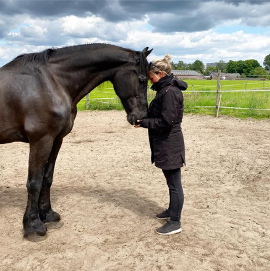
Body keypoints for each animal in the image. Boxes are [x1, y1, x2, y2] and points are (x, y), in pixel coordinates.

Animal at [0, 44, 152, 242]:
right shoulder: (40, 140)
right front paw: (33, 226)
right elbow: (34, 182)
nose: (141, 117)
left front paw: (47, 214)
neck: (50, 82)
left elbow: (47, 178)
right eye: (142, 80)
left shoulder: (56, 139)